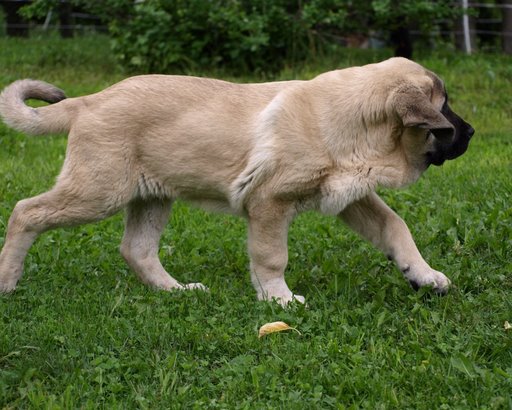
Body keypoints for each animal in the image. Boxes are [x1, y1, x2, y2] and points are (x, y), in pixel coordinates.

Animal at [0, 57, 476, 304]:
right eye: (445, 109)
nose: (471, 133)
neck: (354, 125)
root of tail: (90, 100)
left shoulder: (351, 196)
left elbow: (396, 227)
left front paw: (424, 275)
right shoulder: (269, 203)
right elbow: (272, 257)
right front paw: (278, 299)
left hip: (151, 196)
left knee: (137, 249)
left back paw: (177, 291)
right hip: (99, 191)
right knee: (26, 212)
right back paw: (7, 280)